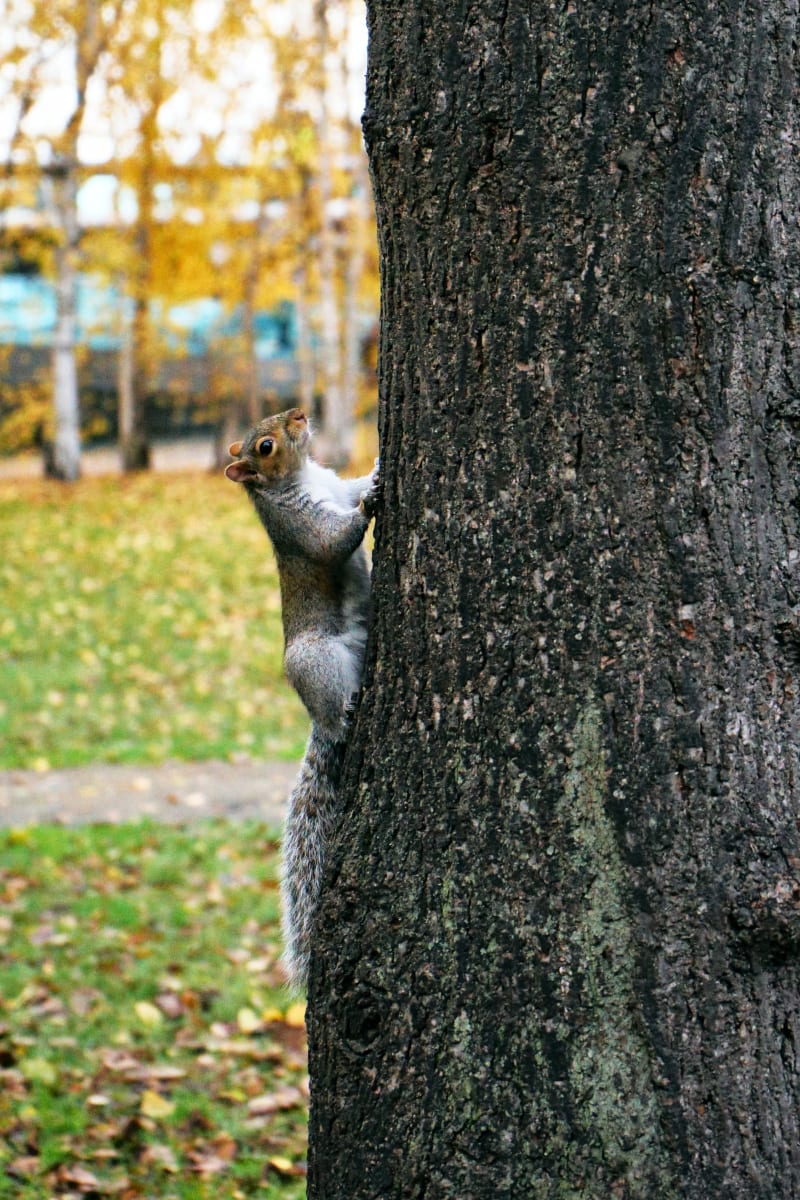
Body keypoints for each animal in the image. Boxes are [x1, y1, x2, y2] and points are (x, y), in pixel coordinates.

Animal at [225, 407, 379, 988]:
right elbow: (331, 541)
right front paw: (370, 503)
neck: (304, 477)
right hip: (313, 660)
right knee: (334, 716)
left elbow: (350, 485)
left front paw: (376, 470)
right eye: (265, 446)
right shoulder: (300, 526)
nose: (299, 413)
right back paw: (345, 714)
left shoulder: (334, 484)